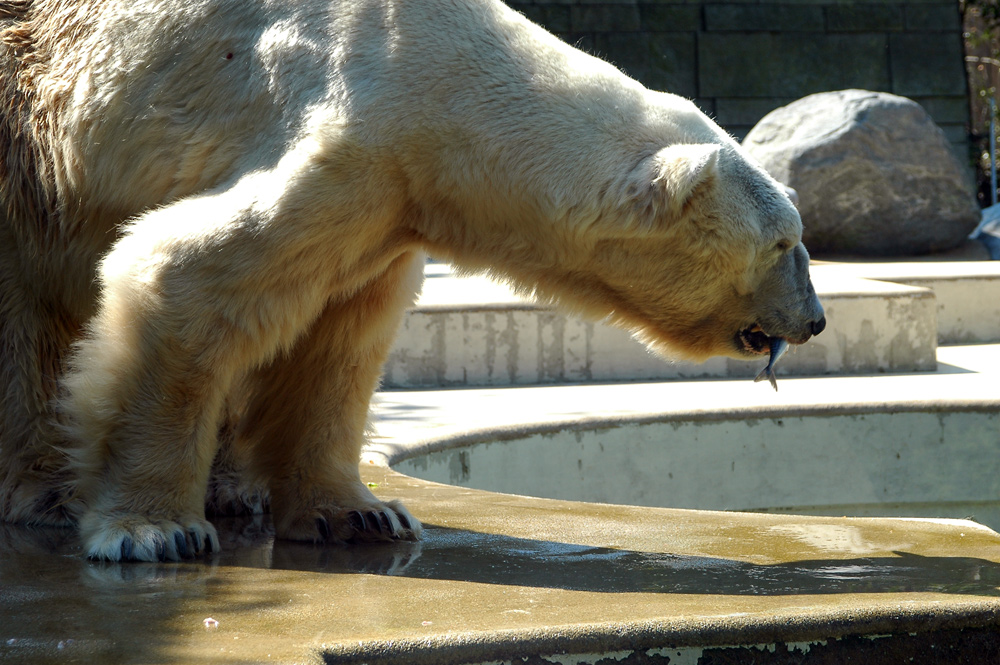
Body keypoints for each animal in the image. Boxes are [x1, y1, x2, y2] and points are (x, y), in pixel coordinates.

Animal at [1, 0, 828, 560]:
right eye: (785, 241)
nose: (814, 319)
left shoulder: (385, 205)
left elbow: (338, 339)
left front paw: (361, 513)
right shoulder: (348, 141)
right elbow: (184, 275)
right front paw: (154, 530)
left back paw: (234, 486)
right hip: (27, 143)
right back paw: (46, 490)